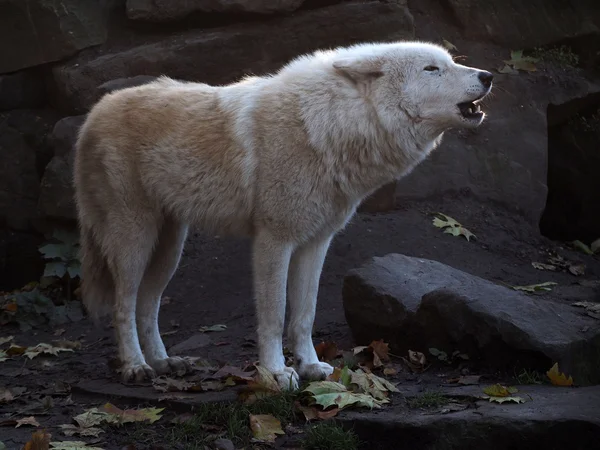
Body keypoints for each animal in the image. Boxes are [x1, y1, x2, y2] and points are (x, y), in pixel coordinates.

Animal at [72, 39, 492, 390]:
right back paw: (135, 366)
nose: (488, 76)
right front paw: (275, 373)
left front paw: (310, 366)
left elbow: (304, 315)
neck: (329, 125)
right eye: (431, 69)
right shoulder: (274, 241)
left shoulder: (315, 243)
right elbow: (274, 315)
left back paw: (163, 363)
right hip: (135, 238)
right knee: (124, 304)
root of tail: (93, 113)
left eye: (452, 62)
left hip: (170, 247)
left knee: (148, 304)